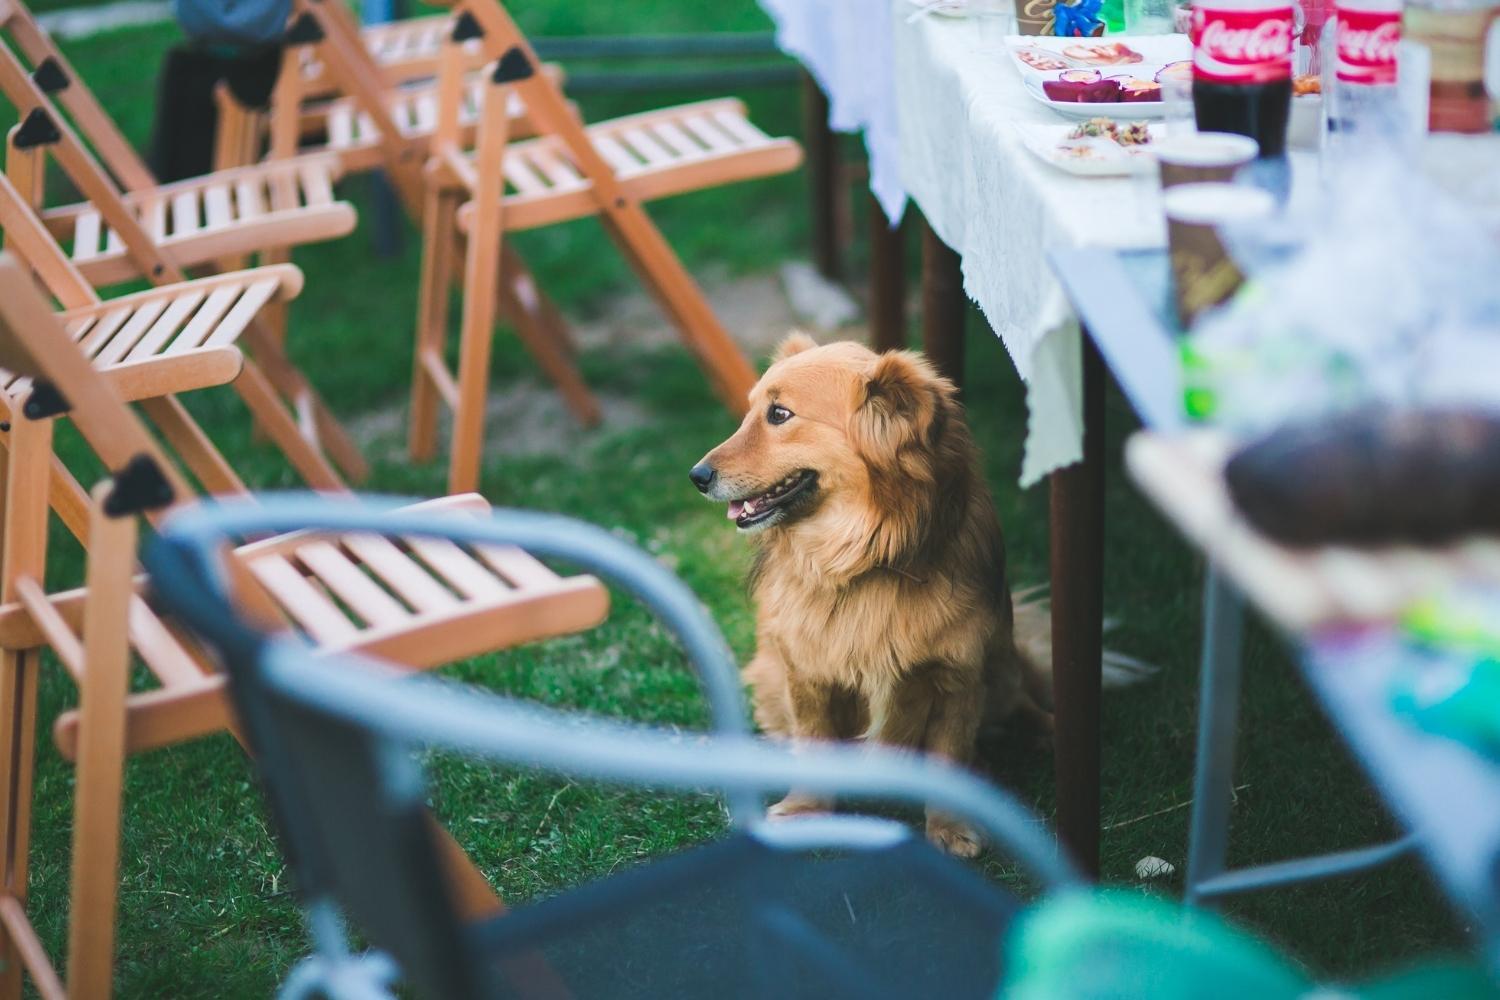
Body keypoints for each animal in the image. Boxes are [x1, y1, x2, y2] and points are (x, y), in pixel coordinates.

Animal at [690, 338, 1056, 863]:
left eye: (779, 414)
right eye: (750, 411)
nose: (697, 476)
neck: (863, 557)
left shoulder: (958, 678)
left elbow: (949, 757)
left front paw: (950, 827)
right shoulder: (808, 674)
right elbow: (814, 743)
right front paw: (806, 809)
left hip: (1001, 668)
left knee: (1021, 698)